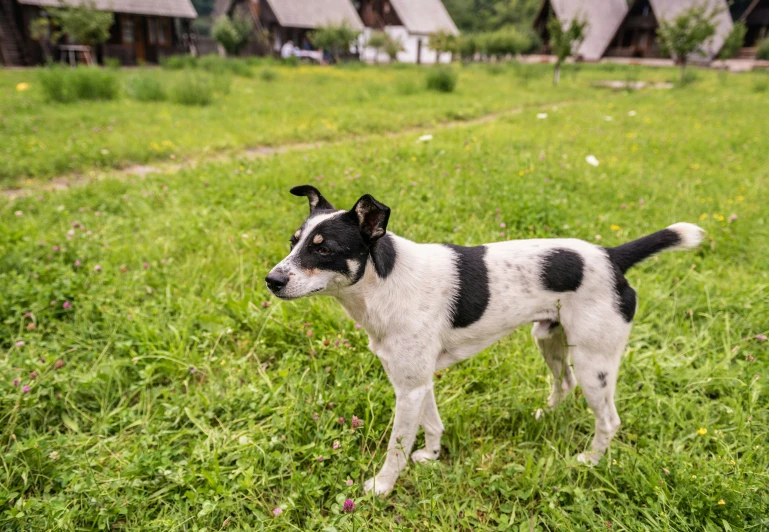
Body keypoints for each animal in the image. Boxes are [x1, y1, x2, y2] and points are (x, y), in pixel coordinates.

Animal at [268, 186, 704, 494]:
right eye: (293, 242)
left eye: (324, 249)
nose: (271, 280)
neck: (385, 281)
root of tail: (612, 257)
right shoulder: (416, 381)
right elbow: (432, 423)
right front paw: (432, 456)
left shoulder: (409, 389)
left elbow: (397, 447)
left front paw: (382, 487)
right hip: (549, 339)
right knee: (563, 383)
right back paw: (549, 416)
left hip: (593, 362)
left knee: (609, 419)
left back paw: (590, 460)